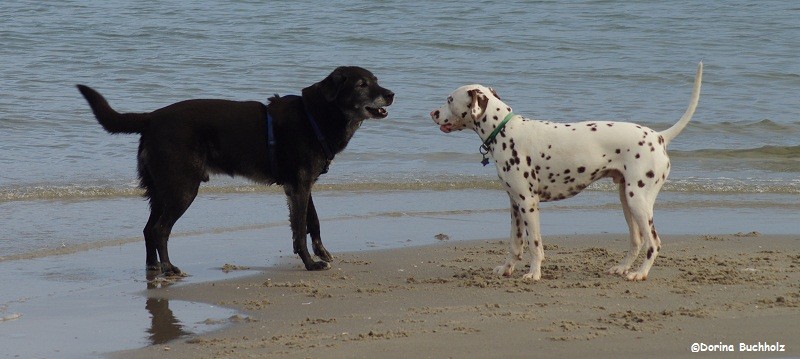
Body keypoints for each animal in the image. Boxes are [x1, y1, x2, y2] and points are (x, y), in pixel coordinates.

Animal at [76, 67, 396, 276]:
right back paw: (168, 267)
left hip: (162, 189)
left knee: (148, 229)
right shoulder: (299, 186)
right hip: (182, 188)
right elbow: (300, 231)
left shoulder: (302, 185)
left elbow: (312, 223)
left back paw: (153, 267)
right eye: (362, 84)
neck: (315, 115)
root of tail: (151, 118)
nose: (392, 94)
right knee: (159, 229)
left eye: (377, 81)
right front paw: (311, 263)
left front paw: (323, 254)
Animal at [432, 62, 700, 282]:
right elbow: (515, 244)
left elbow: (534, 245)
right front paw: (506, 268)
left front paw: (534, 273)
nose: (432, 113)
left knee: (653, 242)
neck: (505, 130)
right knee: (637, 241)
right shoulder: (514, 204)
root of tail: (659, 137)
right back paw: (622, 268)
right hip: (627, 200)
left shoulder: (528, 203)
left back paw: (640, 273)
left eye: (449, 99)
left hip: (638, 201)